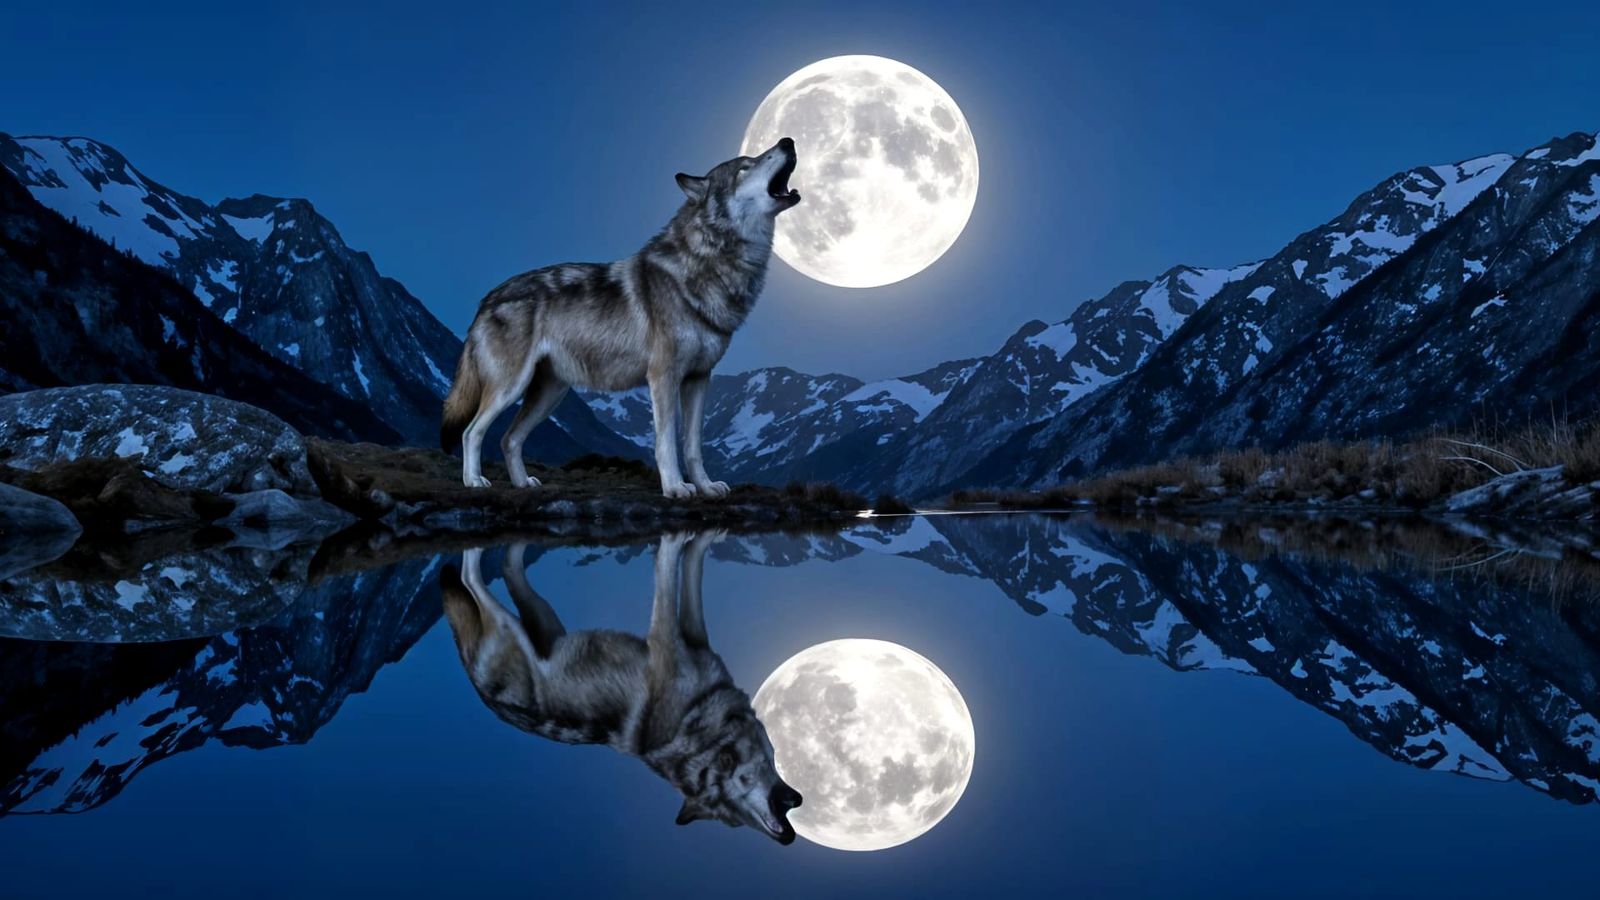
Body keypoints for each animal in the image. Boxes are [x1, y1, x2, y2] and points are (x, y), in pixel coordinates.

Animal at [439, 139, 802, 496]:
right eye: (745, 167)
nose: (788, 140)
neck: (707, 262)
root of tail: (487, 298)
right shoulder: (663, 377)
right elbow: (666, 443)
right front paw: (675, 487)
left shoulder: (699, 379)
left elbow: (693, 446)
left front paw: (706, 486)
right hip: (510, 387)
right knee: (472, 432)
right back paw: (474, 481)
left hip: (549, 394)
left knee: (509, 439)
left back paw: (522, 483)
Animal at [440, 530, 803, 843]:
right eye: (735, 810)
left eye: (733, 821)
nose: (785, 837)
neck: (697, 726)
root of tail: (477, 685)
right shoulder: (666, 638)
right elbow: (671, 566)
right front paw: (677, 540)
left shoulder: (696, 639)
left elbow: (692, 565)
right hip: (507, 625)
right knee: (469, 578)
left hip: (543, 619)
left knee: (507, 565)